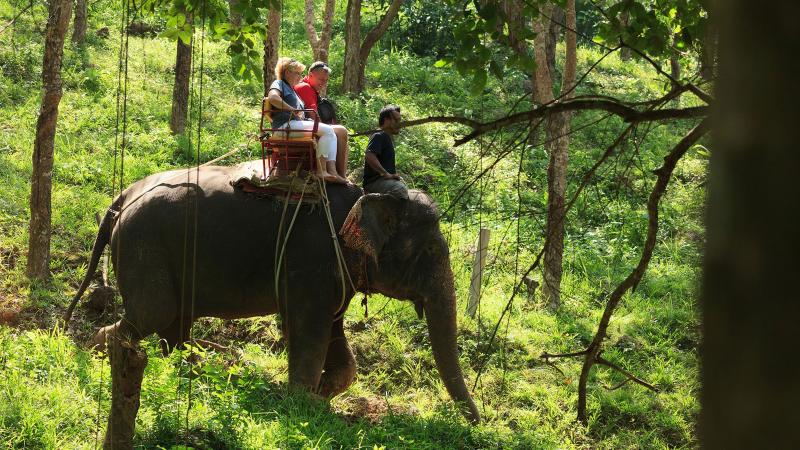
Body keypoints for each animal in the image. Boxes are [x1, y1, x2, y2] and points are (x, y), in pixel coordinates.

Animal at [65, 160, 480, 448]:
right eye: (430, 251)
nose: (476, 424)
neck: (364, 196)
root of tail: (122, 196)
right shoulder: (311, 259)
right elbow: (309, 330)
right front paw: (300, 405)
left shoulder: (333, 273)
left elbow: (335, 336)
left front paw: (320, 398)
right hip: (145, 249)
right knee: (154, 315)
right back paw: (99, 349)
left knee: (173, 328)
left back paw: (192, 374)